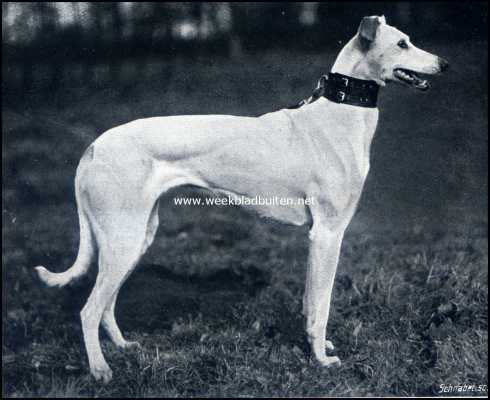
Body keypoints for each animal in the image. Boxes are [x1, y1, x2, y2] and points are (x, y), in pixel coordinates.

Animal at [34, 15, 448, 382]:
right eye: (402, 43)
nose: (444, 64)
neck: (339, 112)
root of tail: (94, 146)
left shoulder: (317, 239)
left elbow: (309, 302)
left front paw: (315, 347)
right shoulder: (328, 235)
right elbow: (322, 304)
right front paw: (320, 360)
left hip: (134, 239)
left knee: (107, 305)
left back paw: (122, 347)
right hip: (123, 240)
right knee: (90, 310)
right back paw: (100, 370)